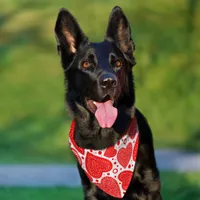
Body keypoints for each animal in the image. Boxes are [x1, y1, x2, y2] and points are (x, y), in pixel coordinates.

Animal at [54, 6, 162, 200]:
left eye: (117, 63)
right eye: (86, 64)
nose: (109, 82)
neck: (104, 135)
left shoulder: (150, 186)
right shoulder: (91, 191)